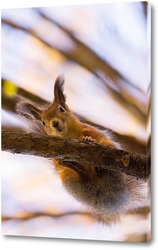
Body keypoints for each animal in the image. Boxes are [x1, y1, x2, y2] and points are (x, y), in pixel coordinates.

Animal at [16, 74, 151, 225]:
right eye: (43, 122)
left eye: (61, 109)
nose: (55, 123)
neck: (68, 134)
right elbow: (55, 159)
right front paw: (60, 160)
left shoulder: (89, 129)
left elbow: (91, 134)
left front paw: (88, 139)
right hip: (70, 180)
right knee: (82, 175)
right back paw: (73, 166)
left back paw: (98, 167)